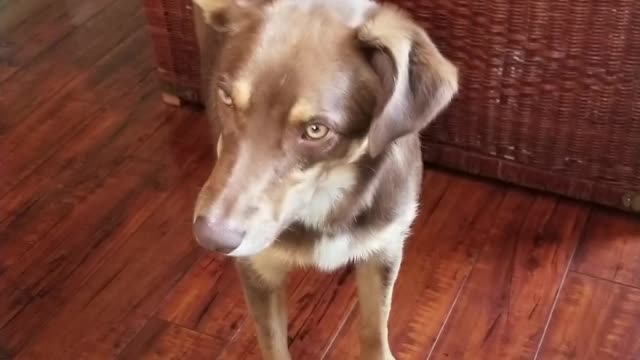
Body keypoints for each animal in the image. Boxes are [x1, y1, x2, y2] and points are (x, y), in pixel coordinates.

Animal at [192, 1, 458, 358]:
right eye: (227, 99)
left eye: (316, 130)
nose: (211, 237)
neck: (328, 194)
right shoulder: (259, 269)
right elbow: (273, 344)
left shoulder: (384, 248)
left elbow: (375, 328)